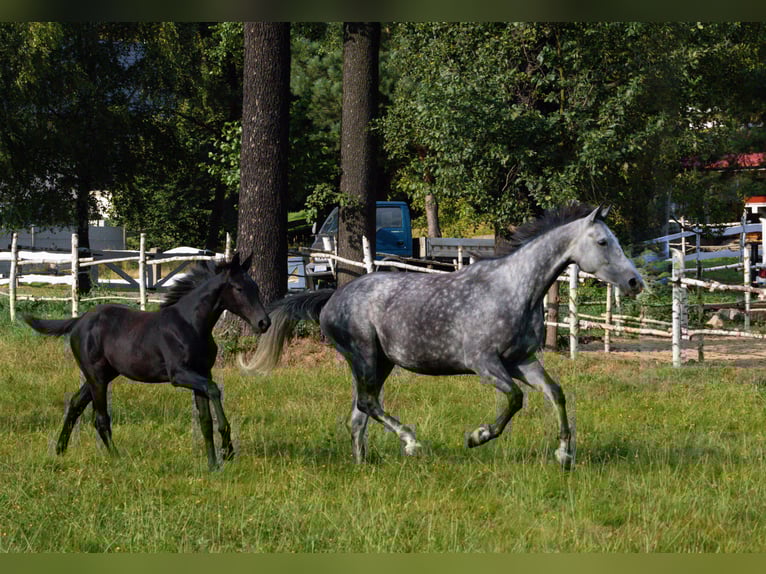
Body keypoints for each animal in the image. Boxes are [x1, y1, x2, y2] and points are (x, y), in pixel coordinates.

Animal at [23, 252, 270, 470]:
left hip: (104, 375)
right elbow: (214, 390)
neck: (191, 324)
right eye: (239, 288)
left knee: (75, 403)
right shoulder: (179, 375)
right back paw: (117, 458)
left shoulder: (201, 373)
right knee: (100, 418)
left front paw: (214, 464)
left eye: (256, 288)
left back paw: (60, 450)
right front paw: (228, 452)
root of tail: (79, 320)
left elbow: (205, 420)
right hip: (96, 376)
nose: (263, 323)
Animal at [243, 204, 643, 469]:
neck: (514, 289)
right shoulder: (485, 363)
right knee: (369, 406)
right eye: (602, 242)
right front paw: (477, 436)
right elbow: (515, 400)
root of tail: (331, 299)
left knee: (358, 415)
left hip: (380, 363)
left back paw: (364, 467)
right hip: (365, 357)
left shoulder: (522, 361)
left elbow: (555, 394)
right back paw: (411, 442)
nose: (635, 282)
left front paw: (564, 455)